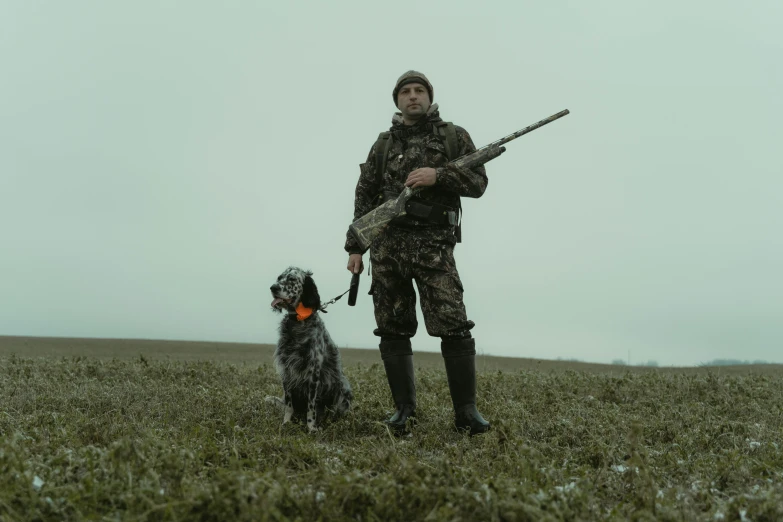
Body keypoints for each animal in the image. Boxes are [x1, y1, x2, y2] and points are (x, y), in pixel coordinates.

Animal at [270, 266, 356, 428]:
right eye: (279, 278)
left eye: (292, 279)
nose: (273, 288)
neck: (298, 321)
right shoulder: (287, 370)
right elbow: (288, 405)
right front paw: (286, 422)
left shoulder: (313, 371)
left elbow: (311, 407)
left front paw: (311, 427)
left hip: (343, 386)